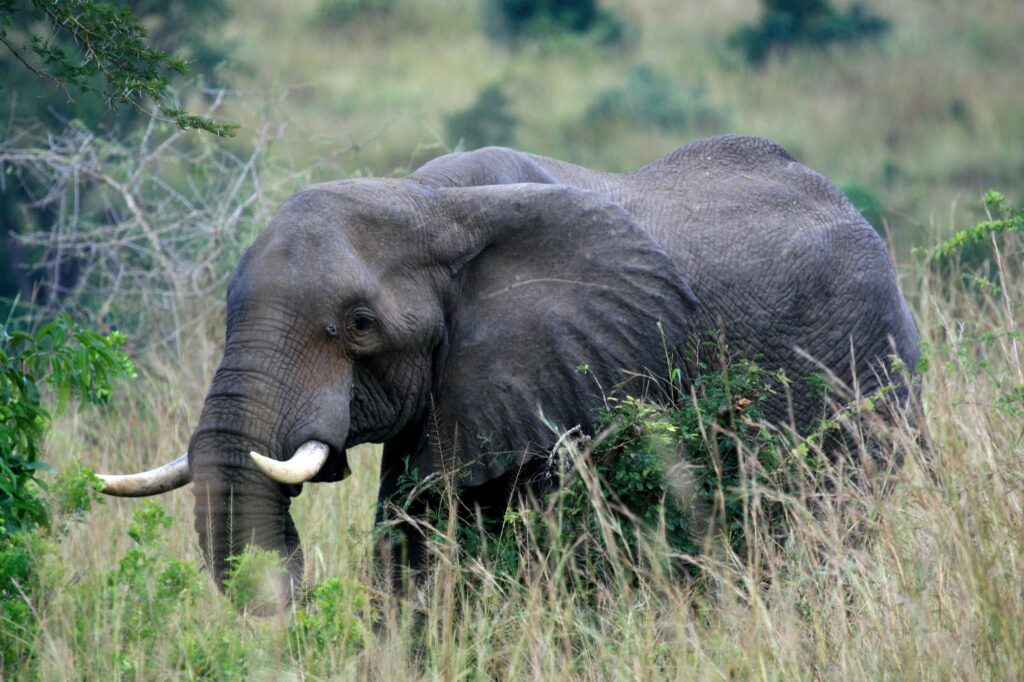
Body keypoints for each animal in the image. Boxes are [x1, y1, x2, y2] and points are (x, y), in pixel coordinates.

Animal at [98, 134, 920, 603]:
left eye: (360, 327)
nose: (292, 594)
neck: (431, 204)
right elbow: (410, 538)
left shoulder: (574, 377)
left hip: (861, 374)